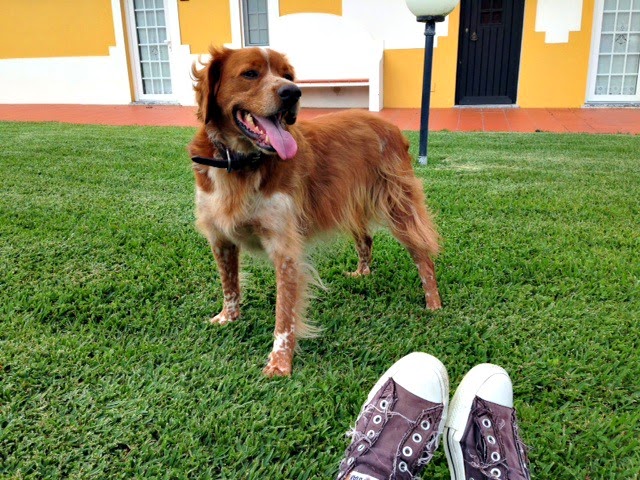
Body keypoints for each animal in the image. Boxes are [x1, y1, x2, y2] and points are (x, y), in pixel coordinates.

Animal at [188, 46, 441, 377]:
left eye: (287, 75)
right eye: (250, 73)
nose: (292, 92)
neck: (240, 164)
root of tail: (390, 125)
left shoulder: (285, 247)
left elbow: (284, 315)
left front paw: (280, 364)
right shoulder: (220, 237)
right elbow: (229, 285)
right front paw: (228, 318)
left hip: (398, 205)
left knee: (423, 254)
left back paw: (434, 303)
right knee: (366, 239)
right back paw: (361, 273)